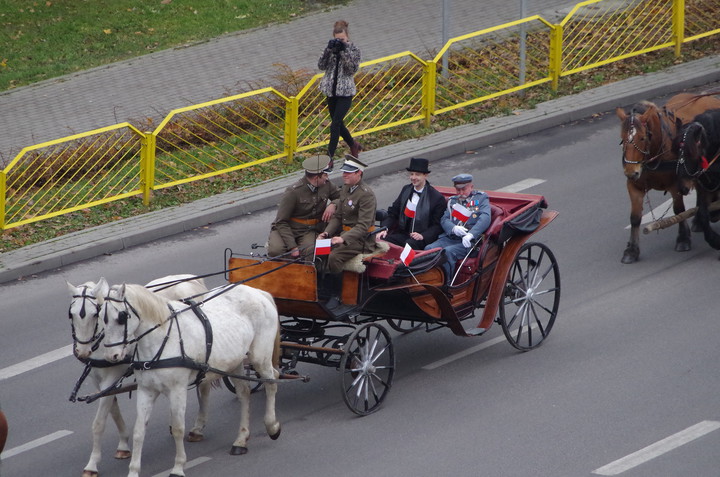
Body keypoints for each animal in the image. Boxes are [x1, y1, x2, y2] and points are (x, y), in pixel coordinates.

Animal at [67, 274, 207, 476]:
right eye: (71, 314)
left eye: (95, 314)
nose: (82, 352)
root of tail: (189, 278)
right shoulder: (99, 381)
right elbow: (113, 410)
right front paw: (123, 445)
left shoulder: (113, 375)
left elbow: (99, 422)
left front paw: (92, 464)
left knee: (204, 387)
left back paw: (198, 427)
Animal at [97, 278, 282, 476]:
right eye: (101, 317)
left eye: (122, 317)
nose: (111, 356)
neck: (164, 338)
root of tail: (259, 293)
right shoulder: (146, 390)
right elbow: (139, 431)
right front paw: (133, 471)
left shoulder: (177, 390)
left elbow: (178, 428)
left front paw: (178, 467)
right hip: (235, 362)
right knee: (244, 393)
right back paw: (241, 439)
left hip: (259, 357)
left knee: (272, 382)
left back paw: (272, 425)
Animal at [612, 92, 720, 264]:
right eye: (622, 138)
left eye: (642, 138)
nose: (630, 172)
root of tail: (706, 97)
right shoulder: (634, 186)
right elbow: (635, 217)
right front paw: (632, 250)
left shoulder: (676, 184)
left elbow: (679, 209)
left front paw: (683, 238)